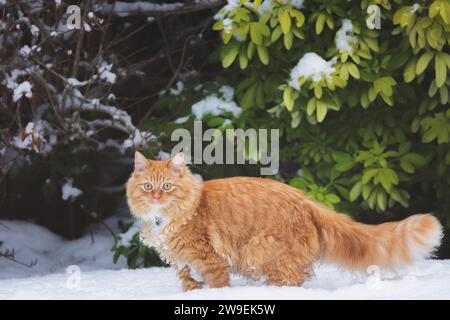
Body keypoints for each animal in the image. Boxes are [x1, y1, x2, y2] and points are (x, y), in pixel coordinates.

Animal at [126, 151, 442, 292]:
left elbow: (218, 285)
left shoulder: (209, 260)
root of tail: (305, 200)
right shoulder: (184, 266)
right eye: (148, 187)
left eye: (167, 187)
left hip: (262, 251)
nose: (156, 196)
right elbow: (190, 285)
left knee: (293, 279)